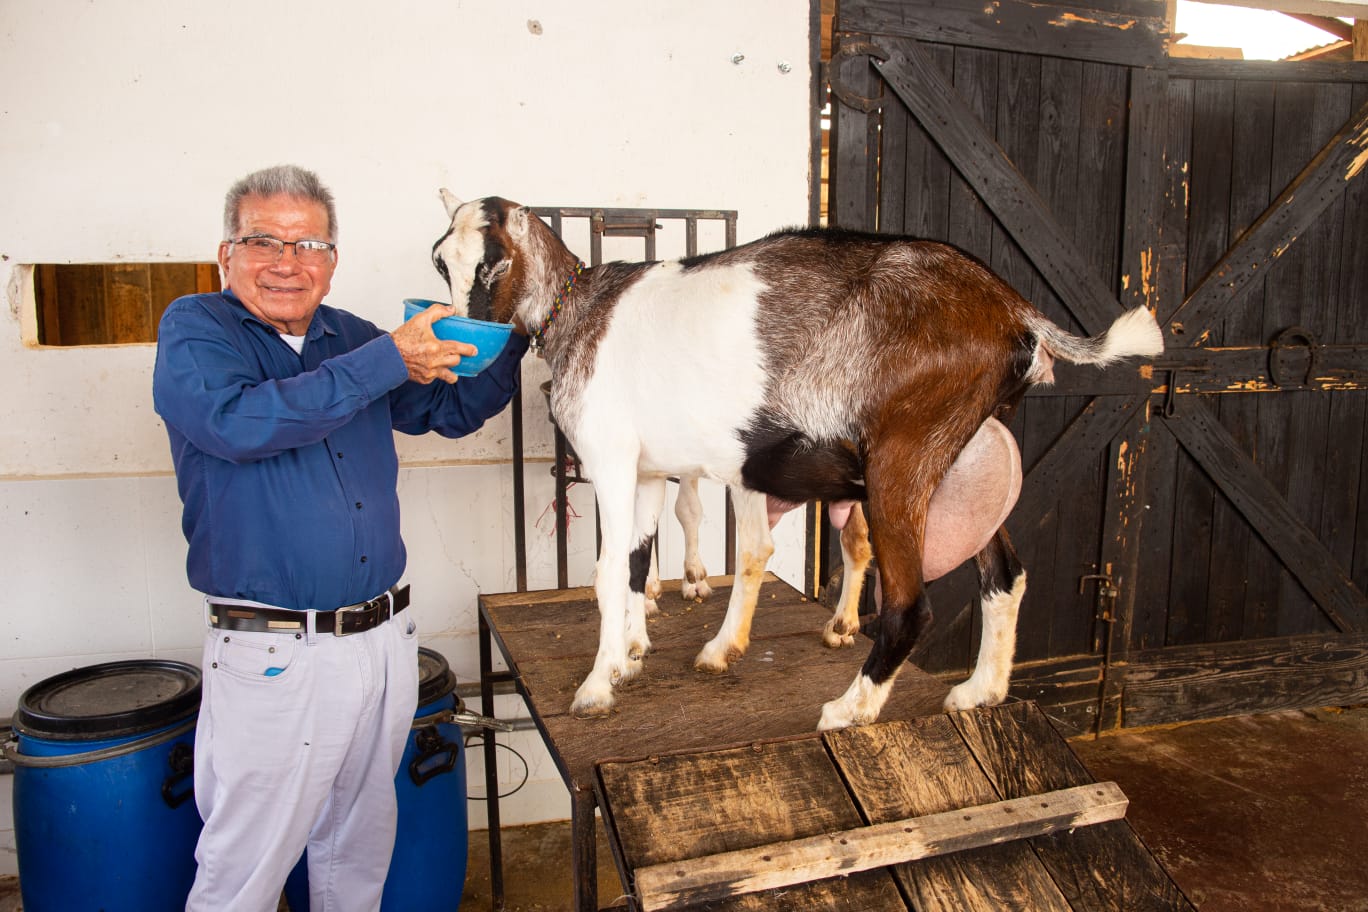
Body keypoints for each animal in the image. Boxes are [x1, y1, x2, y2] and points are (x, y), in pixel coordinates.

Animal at [432, 193, 1162, 729]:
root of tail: (1014, 309)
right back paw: (979, 691)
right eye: (442, 261)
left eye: (490, 263)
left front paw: (594, 686)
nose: (461, 342)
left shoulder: (610, 457)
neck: (580, 309)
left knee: (911, 606)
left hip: (902, 461)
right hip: (965, 462)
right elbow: (638, 562)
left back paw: (849, 709)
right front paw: (629, 658)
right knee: (1004, 575)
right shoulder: (646, 470)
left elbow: (608, 570)